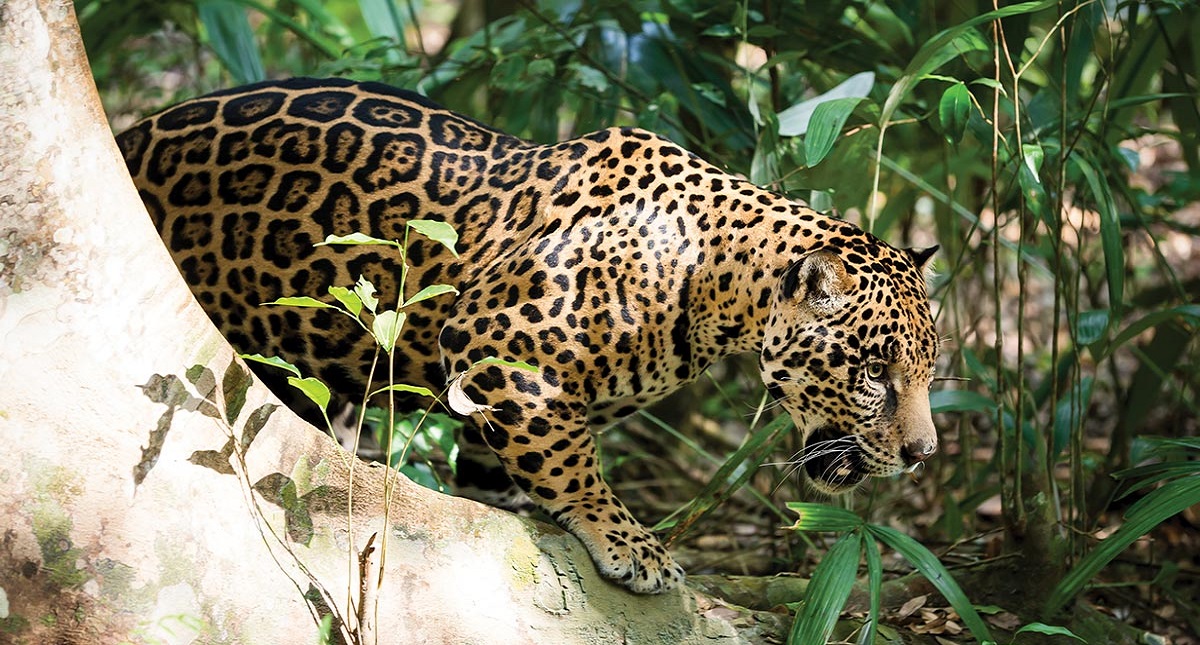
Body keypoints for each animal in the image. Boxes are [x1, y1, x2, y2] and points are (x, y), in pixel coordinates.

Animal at [116, 77, 940, 594]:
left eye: (930, 372)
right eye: (876, 371)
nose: (923, 453)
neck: (714, 278)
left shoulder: (495, 411)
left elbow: (512, 469)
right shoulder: (494, 343)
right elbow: (574, 461)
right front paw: (629, 541)